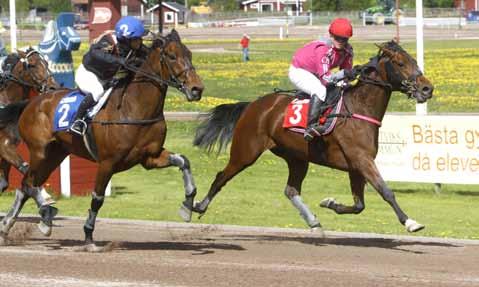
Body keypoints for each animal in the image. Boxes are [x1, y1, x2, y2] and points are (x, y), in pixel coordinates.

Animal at [0, 48, 57, 192]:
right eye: (32, 65)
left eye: (46, 63)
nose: (52, 87)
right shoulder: (3, 146)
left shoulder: (9, 145)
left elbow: (3, 183)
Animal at [192, 40, 436, 234]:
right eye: (400, 63)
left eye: (414, 60)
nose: (427, 88)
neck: (359, 109)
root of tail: (253, 105)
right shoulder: (361, 160)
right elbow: (386, 191)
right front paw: (410, 222)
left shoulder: (356, 165)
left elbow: (359, 206)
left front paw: (330, 203)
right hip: (246, 151)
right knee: (221, 176)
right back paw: (196, 206)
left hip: (296, 157)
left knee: (291, 190)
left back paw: (313, 222)